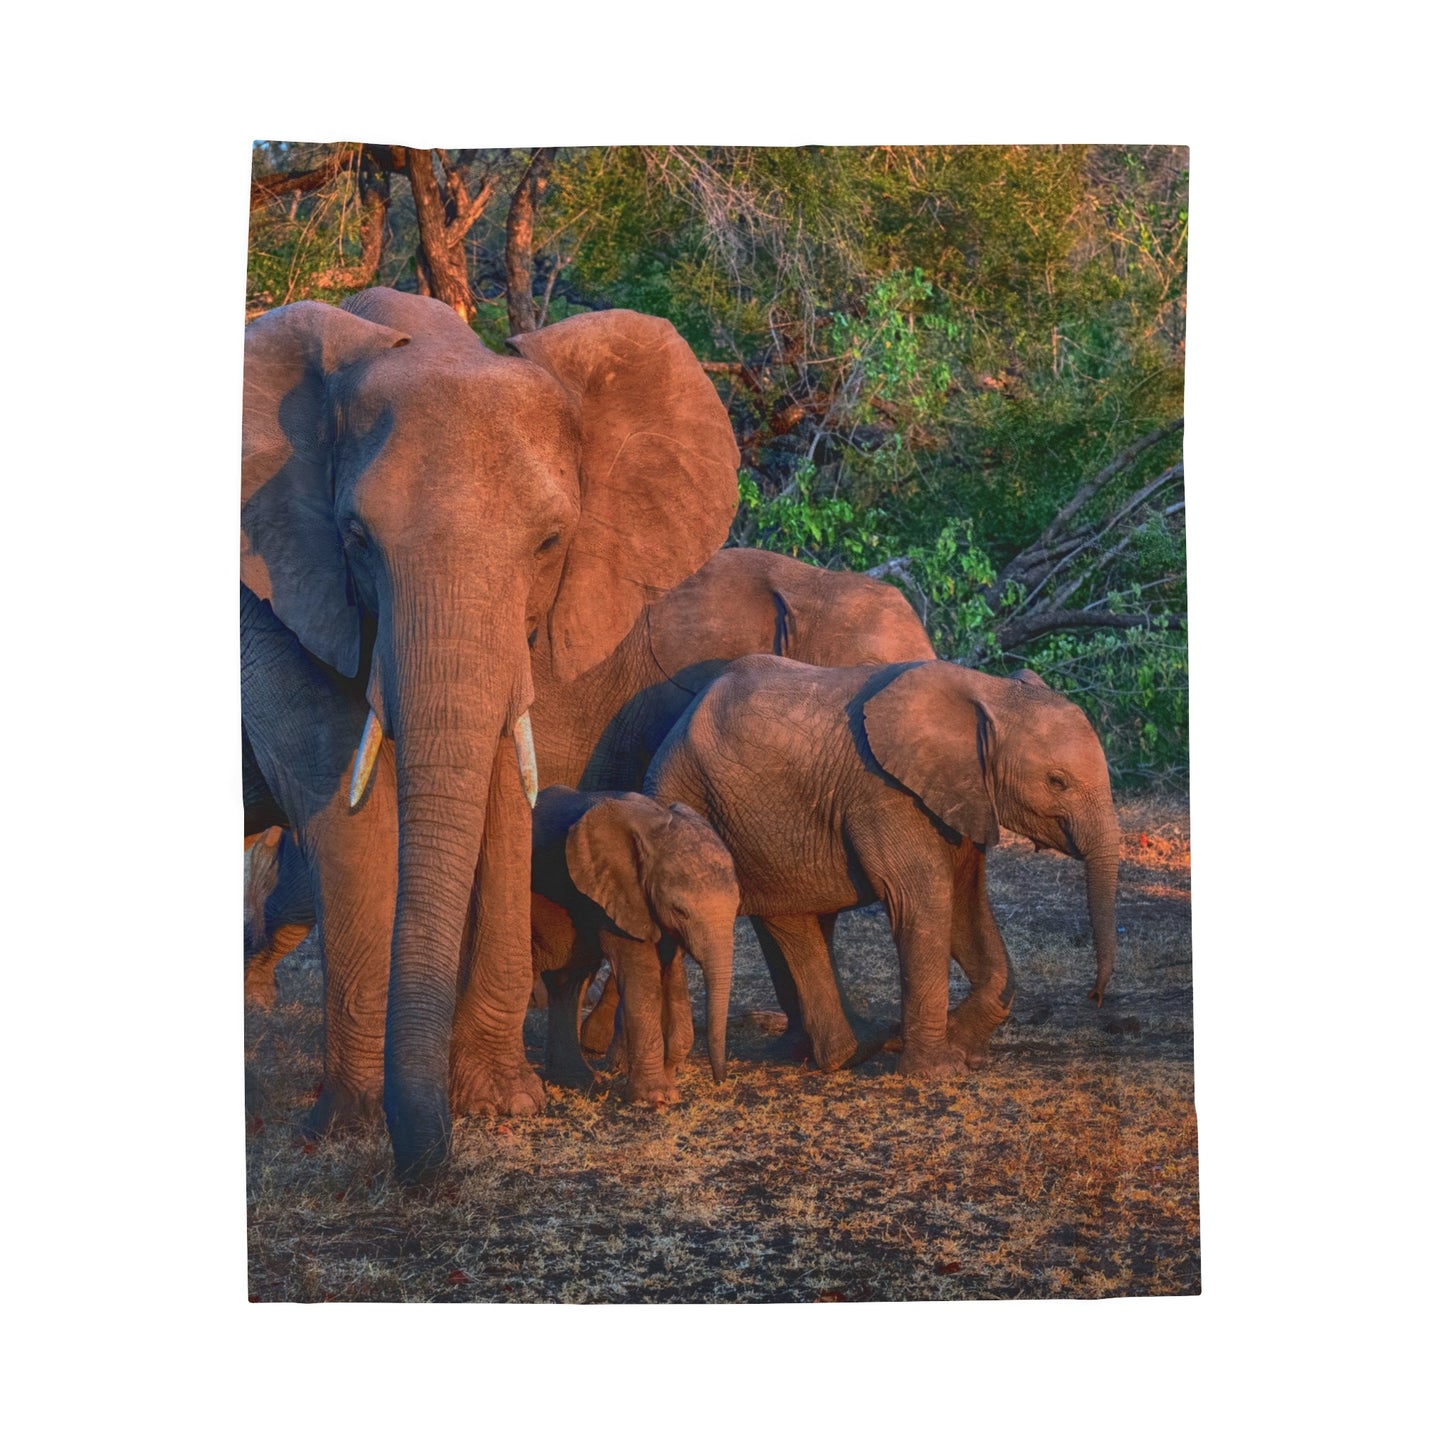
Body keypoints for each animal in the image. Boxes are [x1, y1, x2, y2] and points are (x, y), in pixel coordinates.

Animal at [530, 786, 738, 1104]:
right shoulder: (614, 895)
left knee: (567, 983)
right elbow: (641, 973)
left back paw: (579, 1080)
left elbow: (672, 972)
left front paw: (670, 1080)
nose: (721, 1079)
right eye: (680, 911)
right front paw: (656, 1098)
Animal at [643, 657, 1121, 1077]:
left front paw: (964, 1050)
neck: (989, 692)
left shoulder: (964, 797)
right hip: (713, 806)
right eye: (1057, 782)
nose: (1095, 996)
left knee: (797, 921)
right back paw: (857, 1050)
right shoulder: (885, 794)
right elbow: (926, 899)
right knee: (790, 919)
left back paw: (846, 1047)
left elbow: (967, 903)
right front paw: (937, 1071)